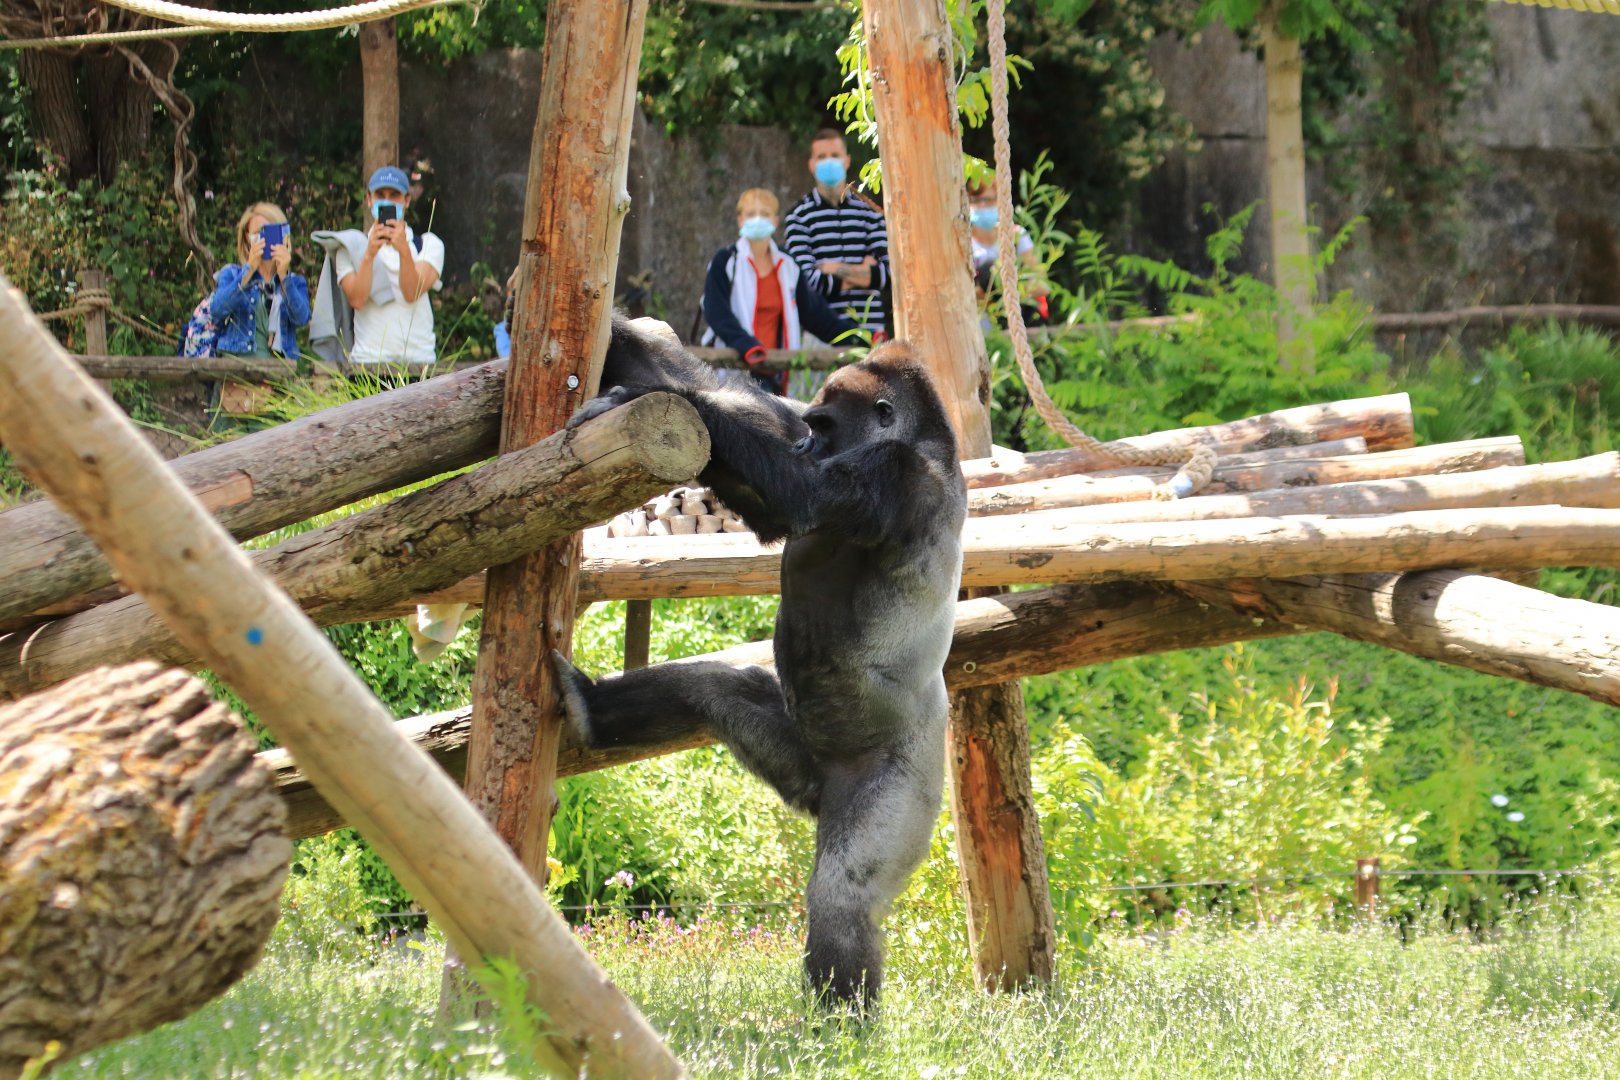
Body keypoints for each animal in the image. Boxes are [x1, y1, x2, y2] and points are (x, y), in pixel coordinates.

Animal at [552, 315, 966, 1008]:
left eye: (828, 426)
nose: (809, 444)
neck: (930, 439)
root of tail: (821, 788)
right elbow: (757, 448)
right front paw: (626, 342)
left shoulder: (894, 471)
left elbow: (799, 496)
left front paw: (658, 400)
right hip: (794, 760)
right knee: (708, 688)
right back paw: (592, 709)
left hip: (907, 787)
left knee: (845, 897)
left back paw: (838, 1027)